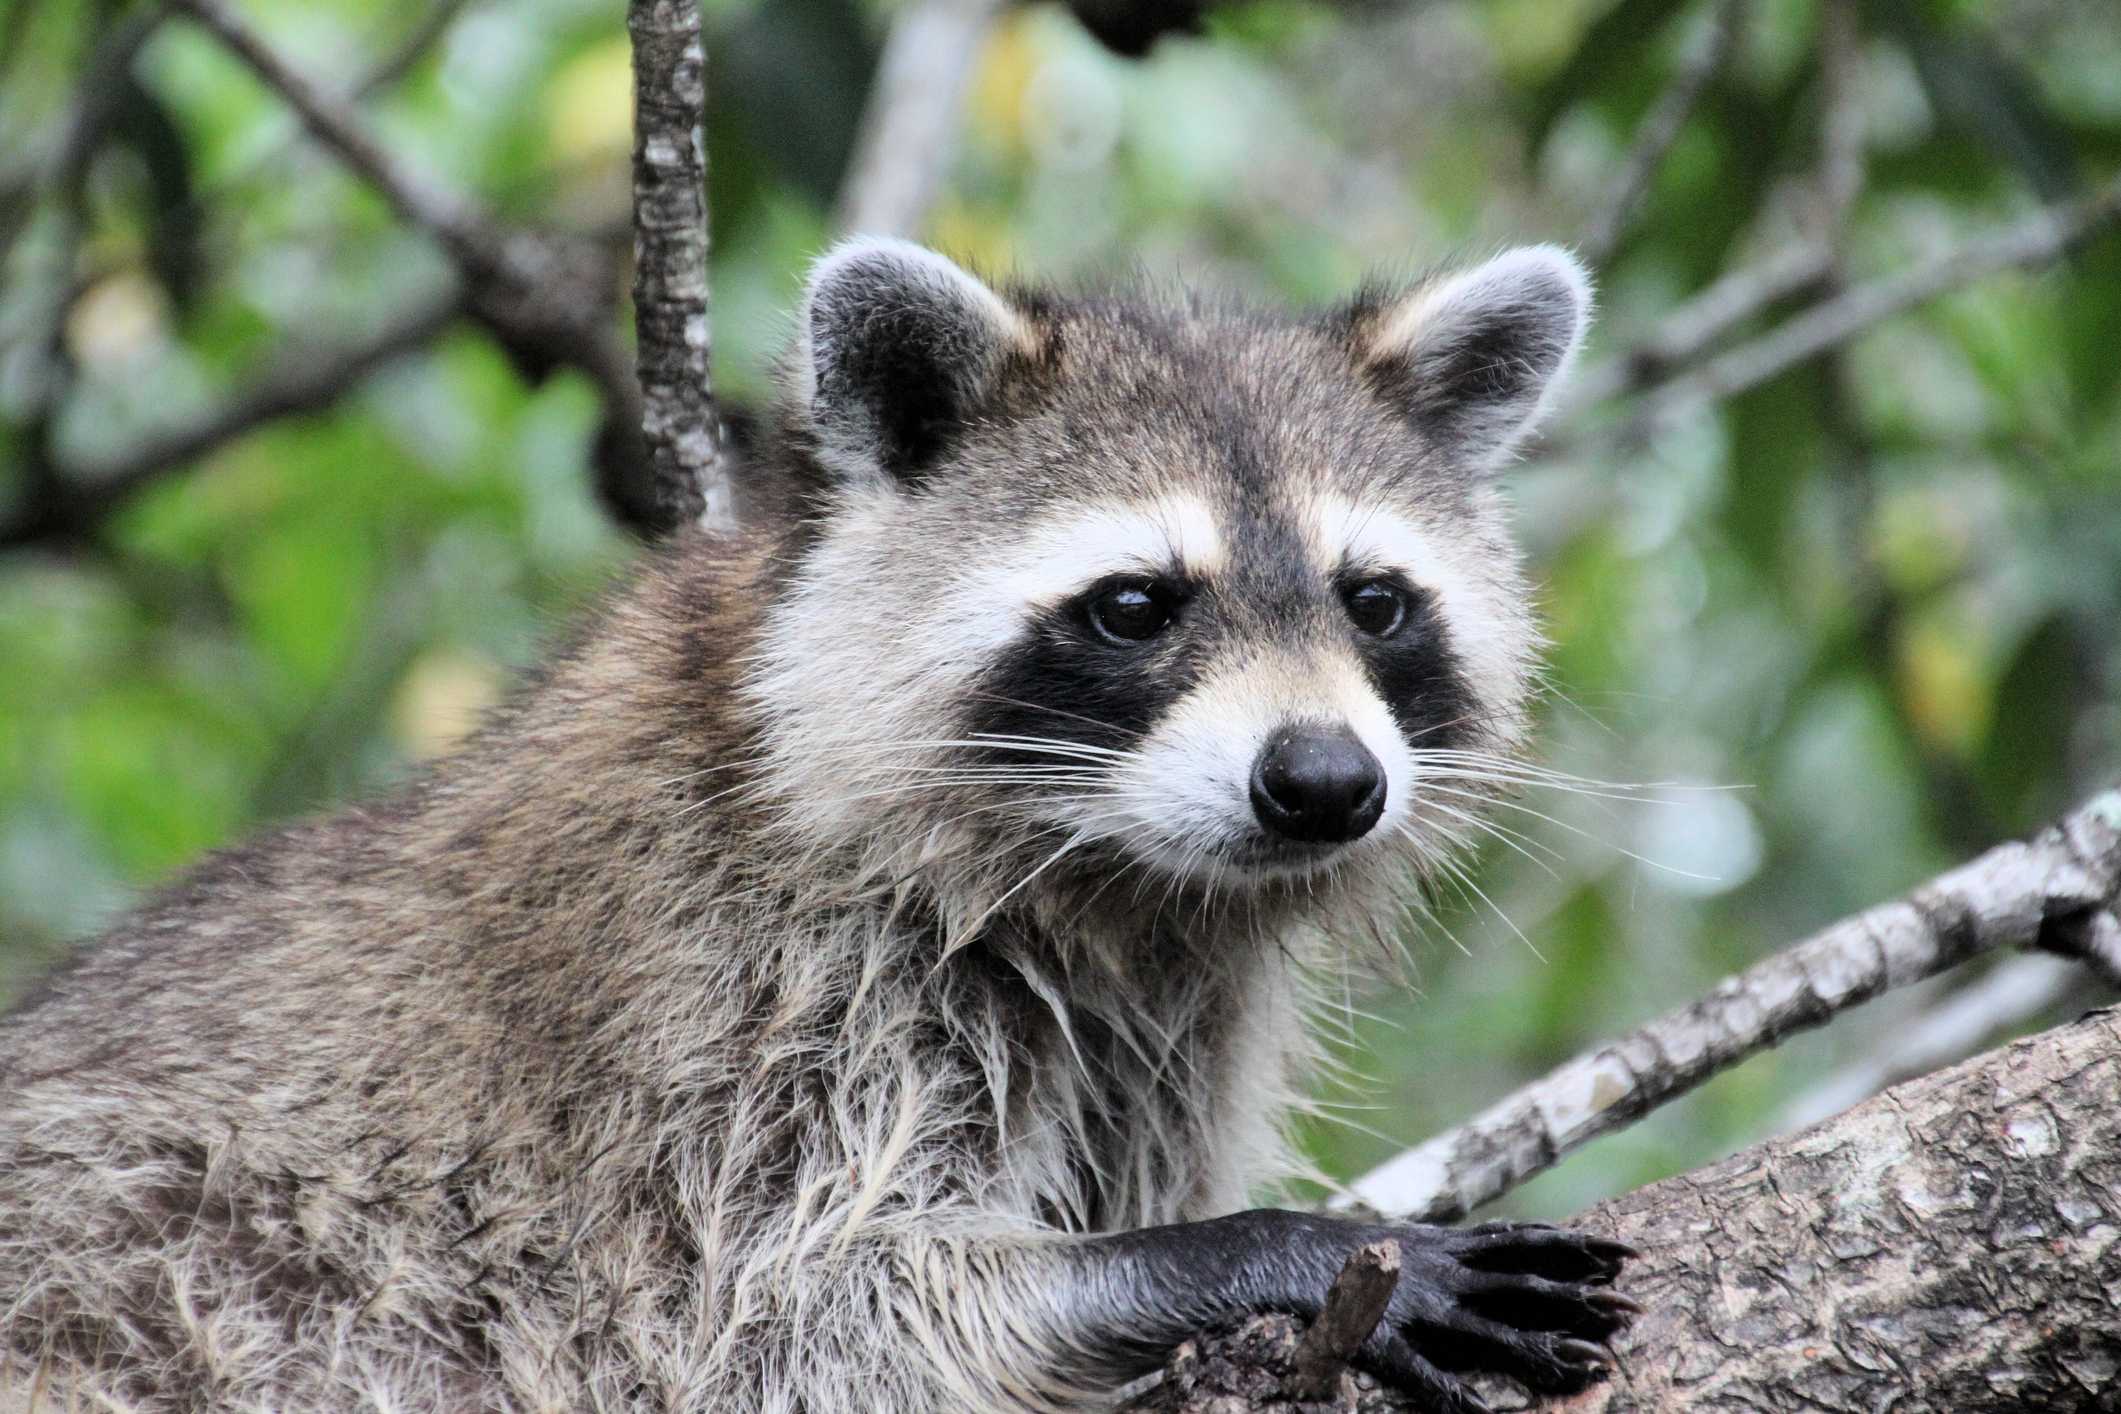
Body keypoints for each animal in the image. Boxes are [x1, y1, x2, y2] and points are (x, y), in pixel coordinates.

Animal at [0, 239, 1634, 1413]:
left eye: (1374, 602)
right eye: (1133, 605)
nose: (1323, 783)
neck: (1119, 886)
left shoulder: (1167, 1028)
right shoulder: (727, 1007)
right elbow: (808, 1312)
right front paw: (1254, 1257)